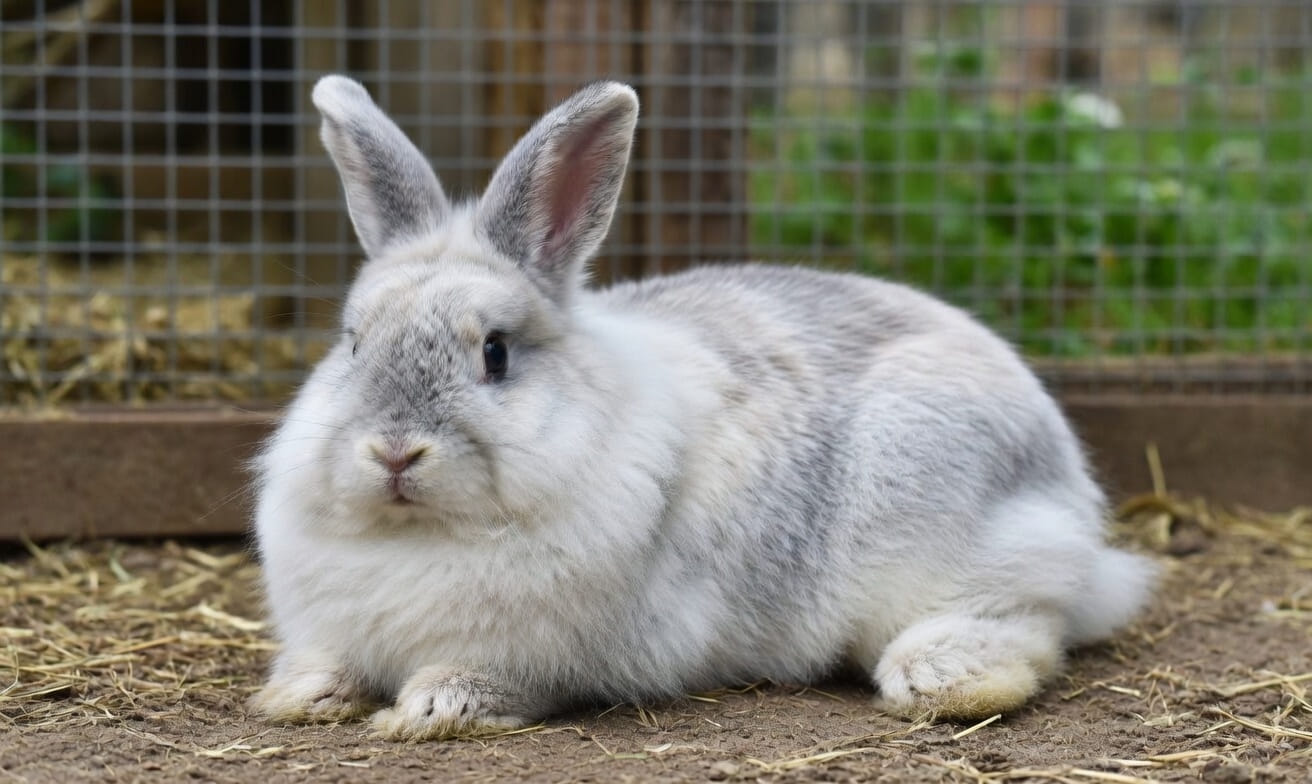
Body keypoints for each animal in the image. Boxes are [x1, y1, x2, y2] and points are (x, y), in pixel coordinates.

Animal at [249, 74, 1156, 740]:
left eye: (495, 352)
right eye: (353, 343)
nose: (394, 452)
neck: (420, 536)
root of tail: (1061, 466)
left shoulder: (530, 655)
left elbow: (484, 680)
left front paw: (428, 711)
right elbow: (326, 663)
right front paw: (299, 696)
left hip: (950, 539)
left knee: (1029, 617)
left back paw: (946, 679)